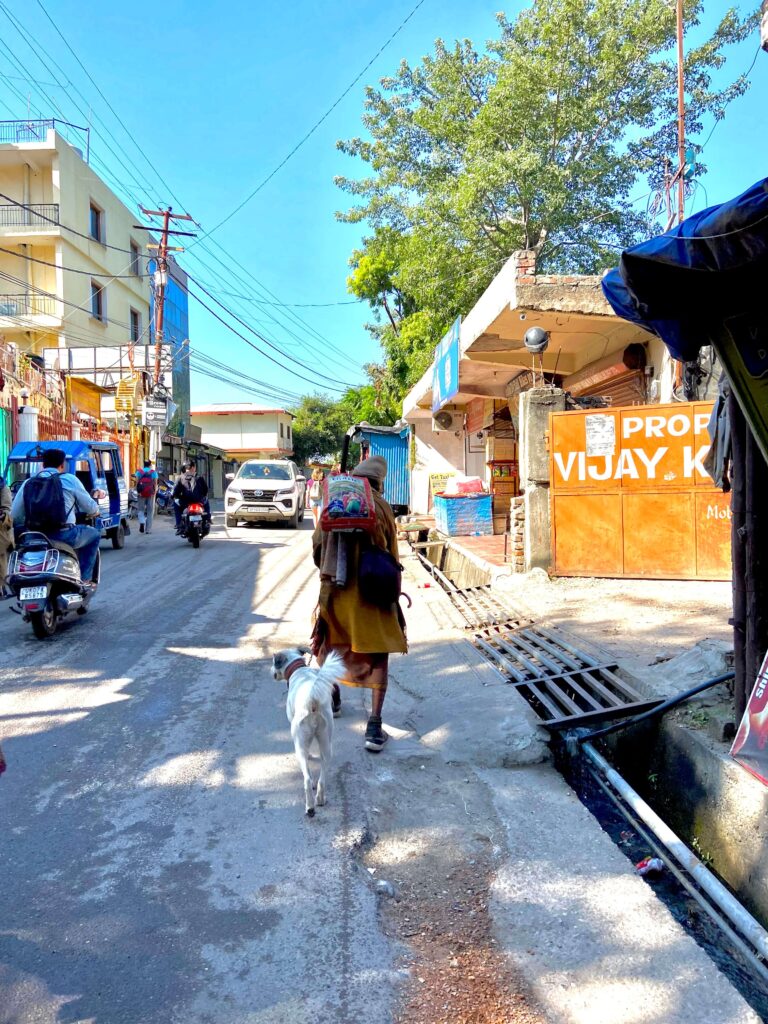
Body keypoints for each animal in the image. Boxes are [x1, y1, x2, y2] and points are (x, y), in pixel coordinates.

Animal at [268, 647, 344, 815]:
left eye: (273, 662)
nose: (270, 672)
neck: (298, 669)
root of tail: (312, 699)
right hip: (326, 742)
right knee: (322, 780)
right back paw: (320, 799)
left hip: (299, 744)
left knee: (308, 780)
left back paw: (310, 807)